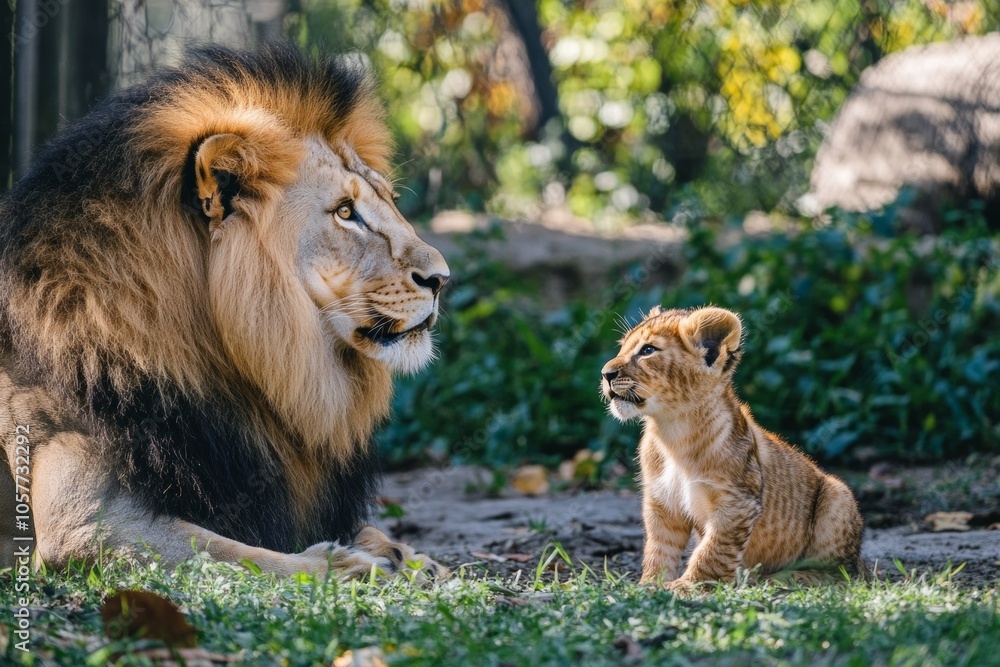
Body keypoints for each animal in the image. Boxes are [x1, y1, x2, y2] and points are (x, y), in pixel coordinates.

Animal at [0, 45, 449, 579]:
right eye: (345, 212)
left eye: (391, 201)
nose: (442, 278)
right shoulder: (80, 522)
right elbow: (233, 554)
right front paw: (351, 568)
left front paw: (413, 559)